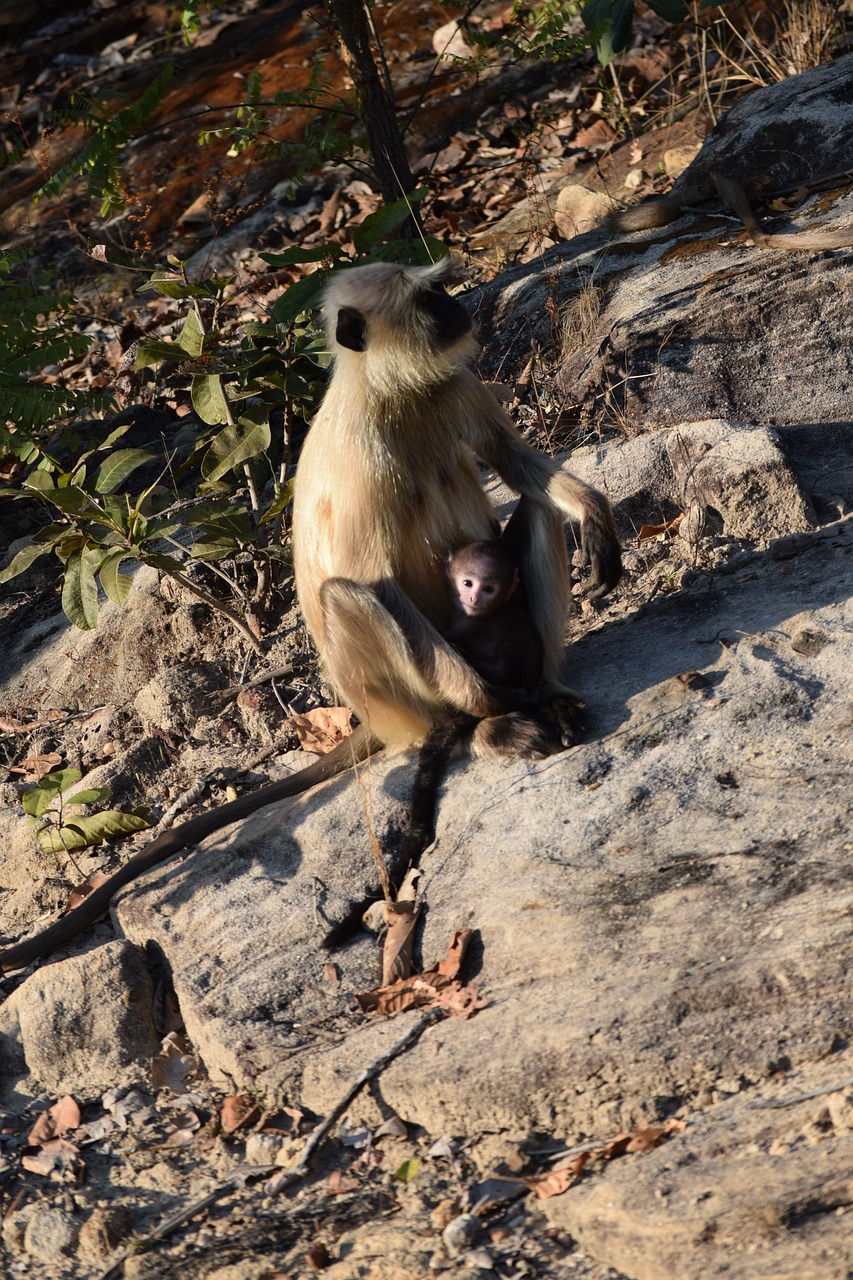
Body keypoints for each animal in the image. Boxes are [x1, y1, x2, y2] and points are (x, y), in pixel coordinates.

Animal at [3, 257, 622, 967]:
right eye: (426, 299)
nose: (456, 304)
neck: (389, 391)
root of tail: (369, 718)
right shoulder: (363, 454)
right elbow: (372, 580)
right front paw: (487, 704)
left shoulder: (455, 382)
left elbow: (516, 464)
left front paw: (596, 515)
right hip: (403, 700)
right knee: (347, 597)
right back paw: (485, 724)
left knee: (538, 509)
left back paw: (549, 692)